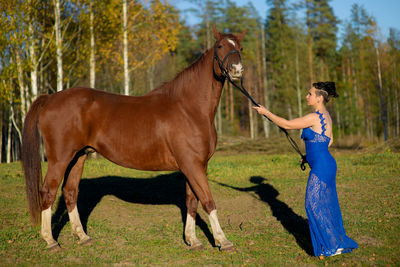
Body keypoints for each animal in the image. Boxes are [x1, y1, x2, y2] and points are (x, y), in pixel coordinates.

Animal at [22, 24, 247, 252]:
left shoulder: (196, 165)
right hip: (59, 159)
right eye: (220, 46)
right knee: (48, 192)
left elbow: (192, 202)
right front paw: (223, 241)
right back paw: (50, 241)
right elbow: (208, 201)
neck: (188, 108)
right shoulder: (192, 165)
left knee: (70, 192)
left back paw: (82, 236)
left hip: (78, 157)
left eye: (240, 48)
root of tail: (50, 98)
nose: (237, 70)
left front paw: (193, 240)